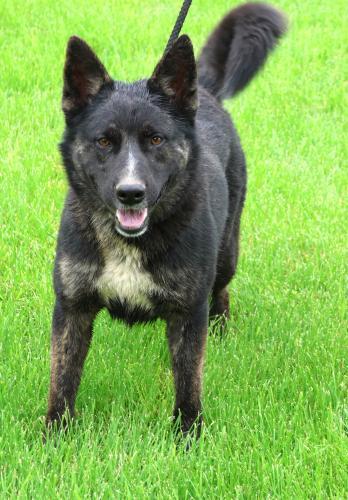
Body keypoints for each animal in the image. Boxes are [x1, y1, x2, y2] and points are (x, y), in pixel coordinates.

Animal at [46, 1, 286, 436]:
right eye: (103, 141)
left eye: (155, 139)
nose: (130, 193)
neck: (129, 242)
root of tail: (202, 89)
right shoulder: (72, 308)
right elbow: (62, 378)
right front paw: (55, 435)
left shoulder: (188, 314)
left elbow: (188, 380)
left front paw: (188, 435)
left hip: (226, 255)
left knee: (221, 291)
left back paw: (222, 331)